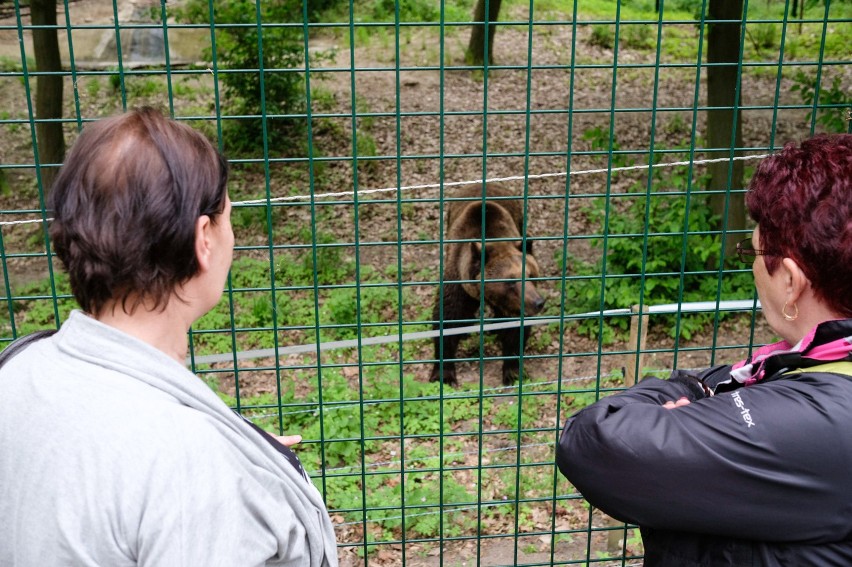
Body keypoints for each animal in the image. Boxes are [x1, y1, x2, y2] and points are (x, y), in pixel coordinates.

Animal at [432, 184, 544, 388]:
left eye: (531, 275)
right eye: (511, 281)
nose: (538, 302)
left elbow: (515, 331)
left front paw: (513, 372)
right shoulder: (458, 282)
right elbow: (447, 318)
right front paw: (444, 375)